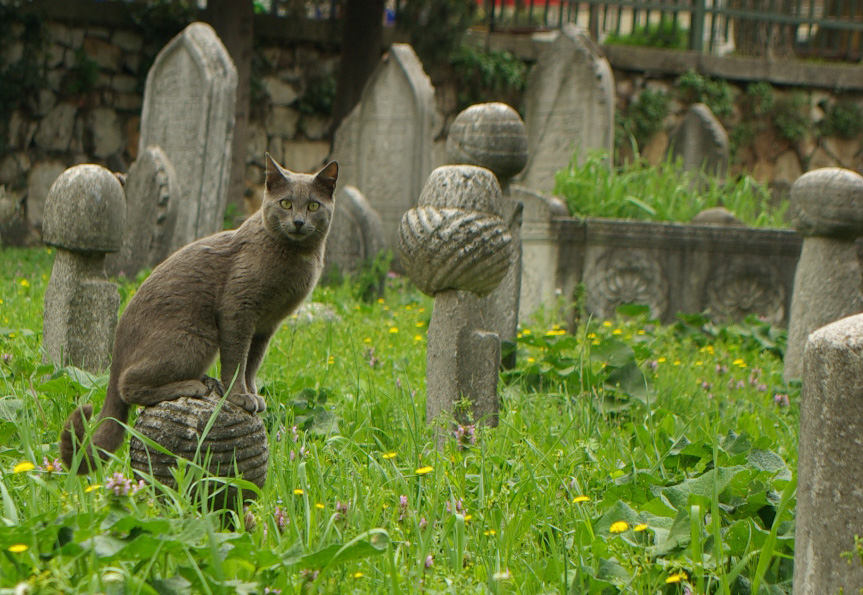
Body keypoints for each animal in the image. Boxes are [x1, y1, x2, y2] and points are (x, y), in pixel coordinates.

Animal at [60, 155, 338, 474]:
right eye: (286, 203)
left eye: (313, 206)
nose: (299, 221)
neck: (297, 259)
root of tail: (116, 352)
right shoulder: (238, 311)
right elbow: (237, 361)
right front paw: (239, 397)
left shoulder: (265, 326)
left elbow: (252, 364)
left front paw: (252, 394)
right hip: (195, 338)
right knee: (127, 386)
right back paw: (195, 385)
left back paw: (207, 381)